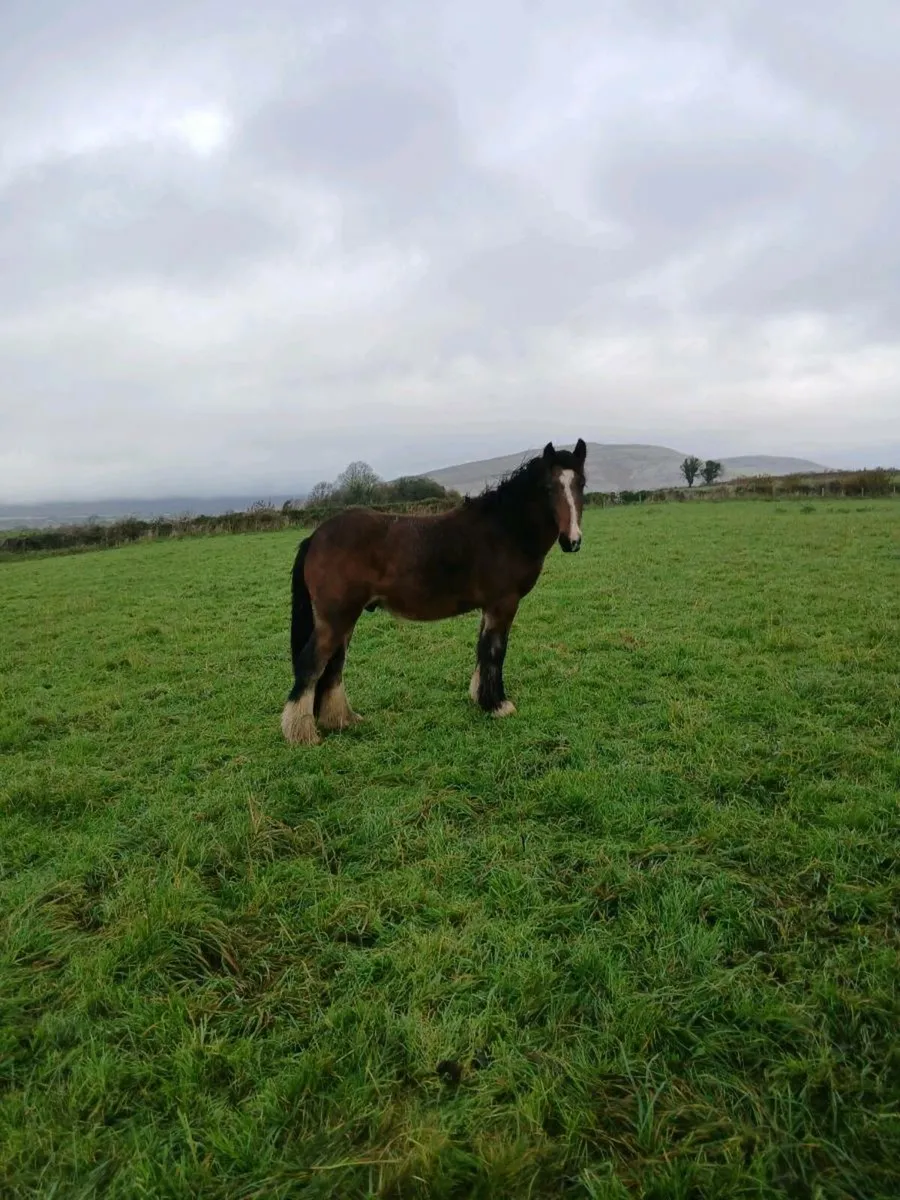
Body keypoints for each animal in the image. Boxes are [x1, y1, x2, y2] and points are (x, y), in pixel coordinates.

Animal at [281, 439, 587, 745]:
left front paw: (481, 698)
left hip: (345, 618)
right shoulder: (503, 604)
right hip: (335, 618)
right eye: (548, 487)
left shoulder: (489, 607)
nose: (571, 541)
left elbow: (482, 649)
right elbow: (495, 651)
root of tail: (316, 536)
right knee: (312, 663)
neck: (504, 530)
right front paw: (498, 705)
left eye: (581, 484)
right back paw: (302, 734)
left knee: (334, 665)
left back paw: (341, 720)